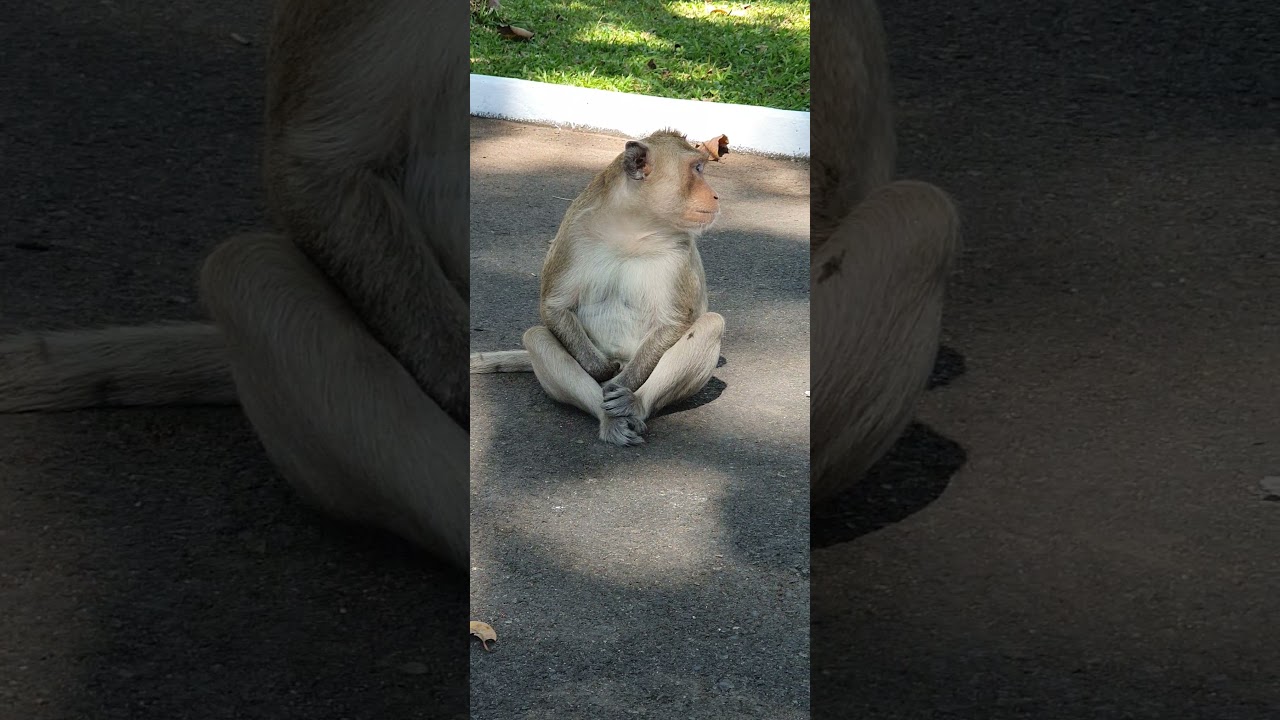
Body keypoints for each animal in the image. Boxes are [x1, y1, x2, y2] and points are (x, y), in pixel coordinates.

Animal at [470, 130, 731, 447]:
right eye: (697, 168)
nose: (716, 195)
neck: (633, 228)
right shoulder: (573, 233)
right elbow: (554, 307)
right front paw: (602, 371)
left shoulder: (681, 249)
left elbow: (676, 321)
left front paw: (621, 383)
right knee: (537, 338)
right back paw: (608, 417)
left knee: (711, 325)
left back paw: (633, 403)